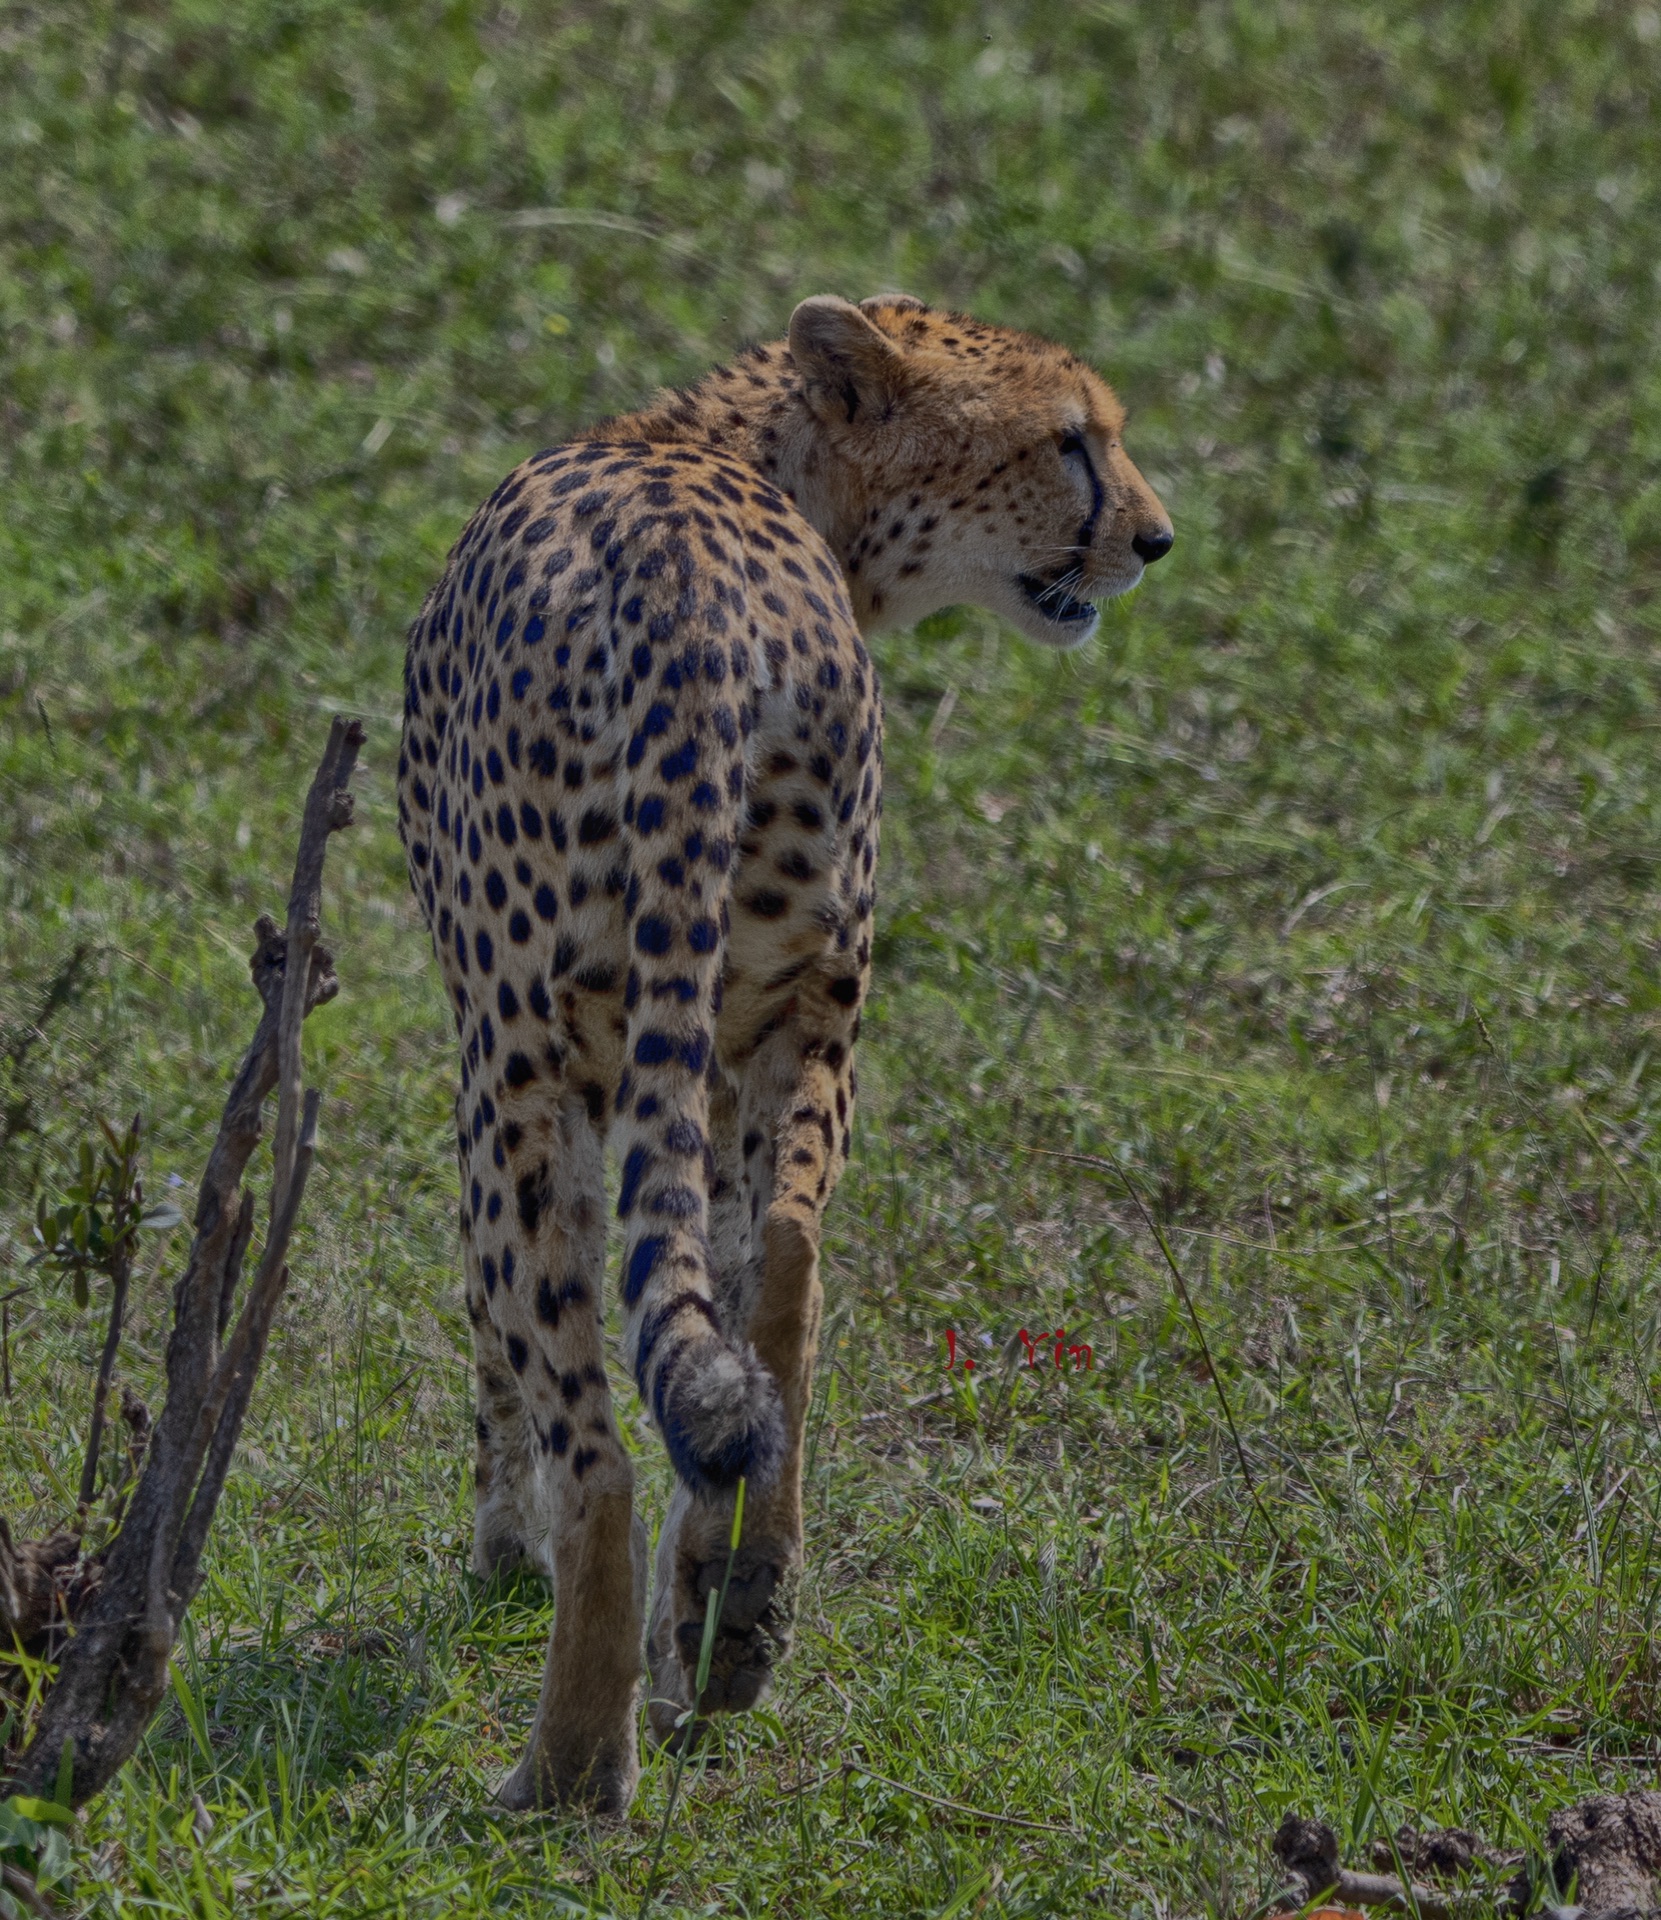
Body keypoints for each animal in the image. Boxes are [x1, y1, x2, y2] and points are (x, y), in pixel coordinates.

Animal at [391, 291, 1167, 1804]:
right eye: (1069, 440)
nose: (1154, 538)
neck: (738, 448)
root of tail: (691, 608)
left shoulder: (504, 1054)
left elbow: (496, 1350)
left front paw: (499, 1550)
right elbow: (729, 1272)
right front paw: (704, 1619)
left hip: (522, 1070)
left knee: (596, 1433)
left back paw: (570, 1763)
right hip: (795, 1003)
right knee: (784, 1270)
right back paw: (740, 1611)